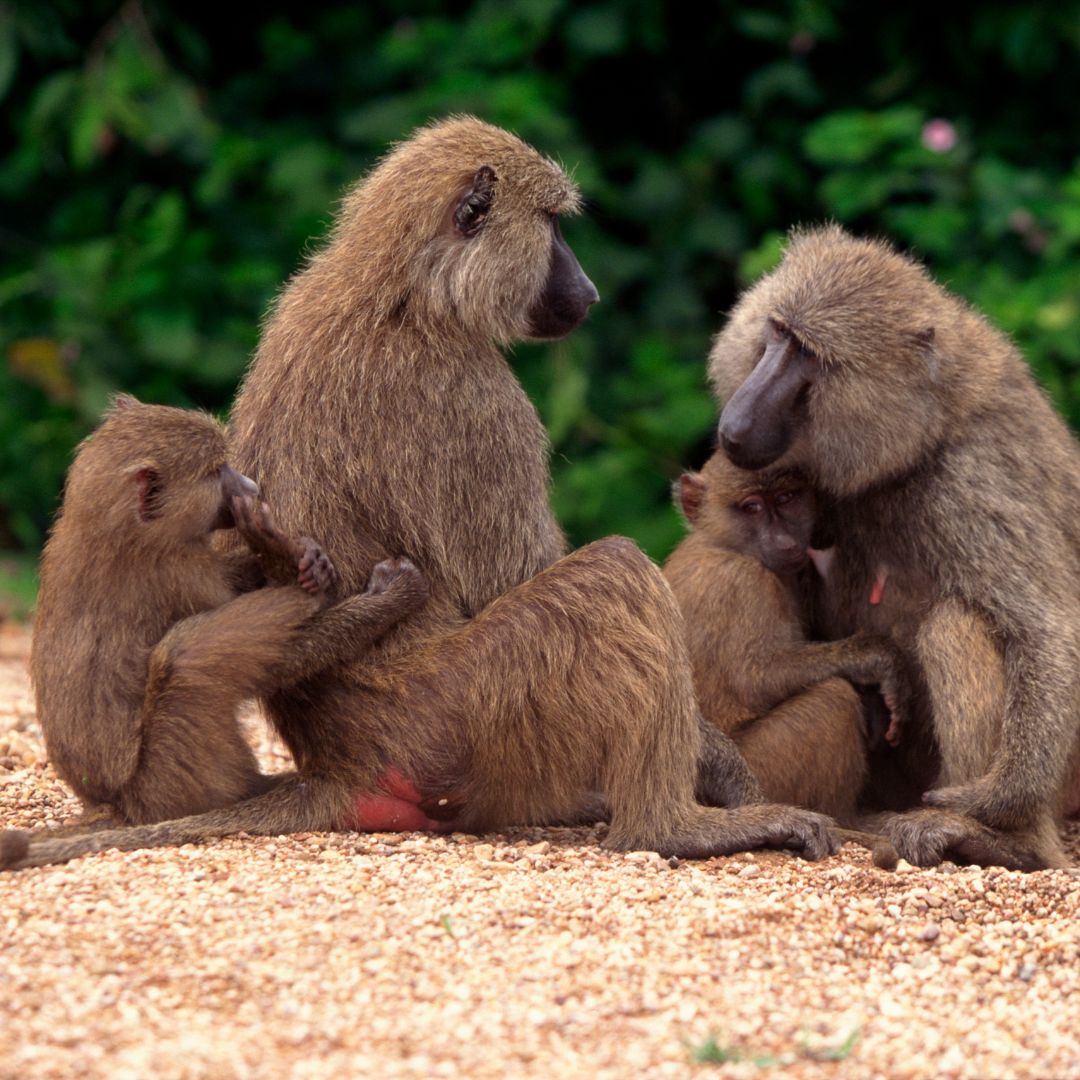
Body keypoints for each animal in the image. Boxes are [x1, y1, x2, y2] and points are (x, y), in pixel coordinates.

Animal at [25, 395, 428, 834]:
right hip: (169, 780)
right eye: (217, 471)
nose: (252, 487)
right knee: (186, 657)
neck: (116, 526)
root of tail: (111, 807)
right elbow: (275, 664)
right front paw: (384, 597)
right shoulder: (182, 572)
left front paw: (295, 555)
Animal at [709, 223, 1080, 870]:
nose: (736, 425)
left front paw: (996, 800)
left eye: (809, 354)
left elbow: (1047, 630)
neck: (921, 430)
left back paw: (1001, 841)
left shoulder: (969, 480)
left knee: (954, 624)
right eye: (777, 331)